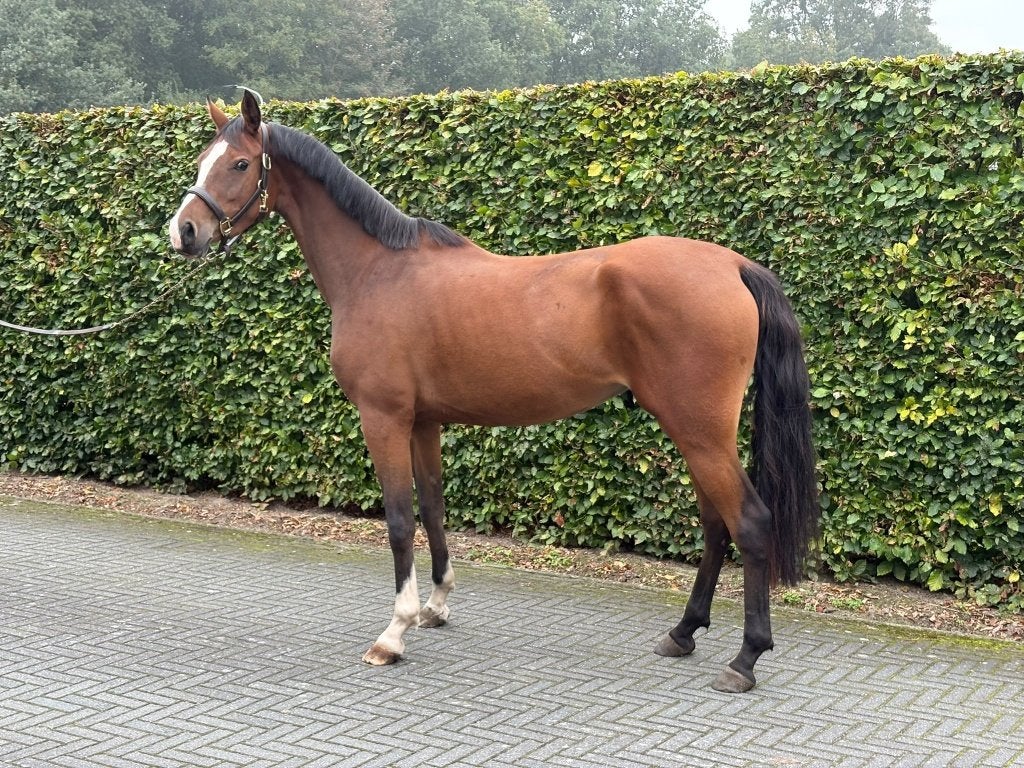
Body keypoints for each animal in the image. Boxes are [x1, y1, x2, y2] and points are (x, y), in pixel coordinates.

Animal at [168, 90, 819, 693]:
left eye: (240, 164)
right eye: (203, 160)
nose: (184, 232)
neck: (379, 271)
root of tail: (733, 266)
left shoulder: (384, 418)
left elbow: (399, 519)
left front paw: (393, 633)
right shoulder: (424, 421)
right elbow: (433, 508)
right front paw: (435, 608)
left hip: (699, 430)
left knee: (749, 522)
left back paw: (745, 659)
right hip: (698, 432)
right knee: (715, 524)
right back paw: (682, 633)